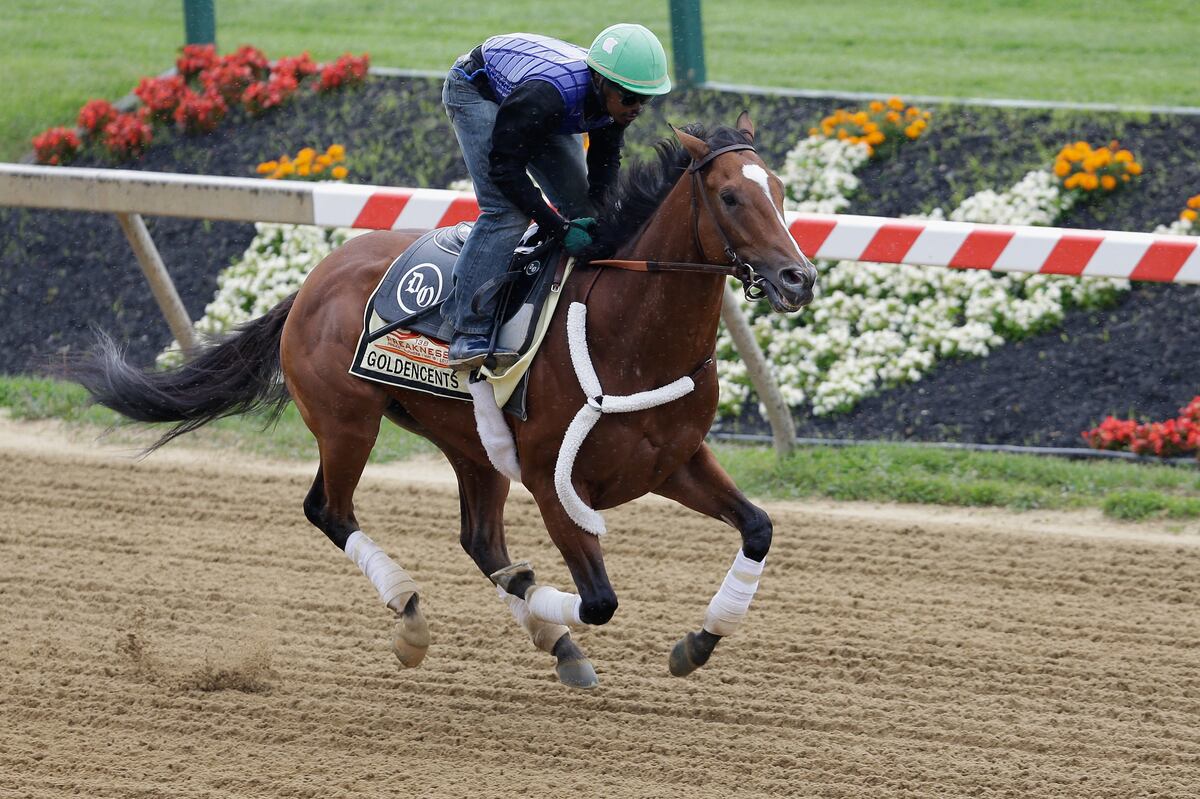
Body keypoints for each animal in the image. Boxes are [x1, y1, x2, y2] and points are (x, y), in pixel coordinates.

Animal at [72, 112, 816, 689]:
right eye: (730, 197)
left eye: (778, 190)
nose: (797, 277)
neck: (627, 332)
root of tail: (315, 280)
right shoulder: (553, 482)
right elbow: (599, 599)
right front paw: (540, 597)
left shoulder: (674, 459)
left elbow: (758, 527)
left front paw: (698, 641)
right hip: (348, 424)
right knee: (329, 509)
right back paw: (412, 615)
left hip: (471, 444)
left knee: (479, 539)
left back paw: (552, 640)